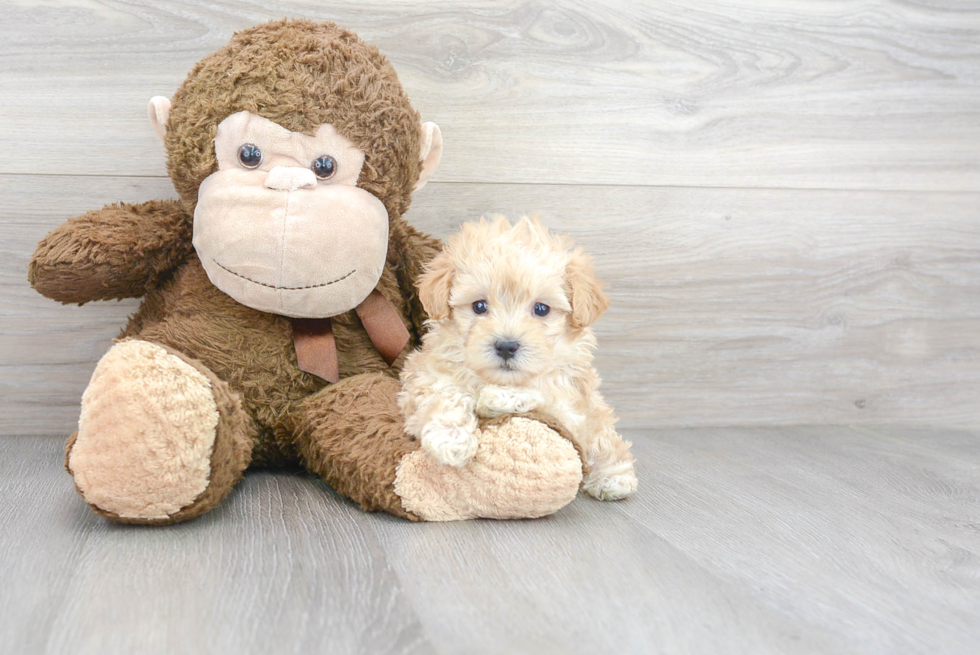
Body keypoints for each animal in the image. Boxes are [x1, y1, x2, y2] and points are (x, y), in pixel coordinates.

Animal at [394, 217, 640, 502]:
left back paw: (613, 478)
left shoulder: (571, 401)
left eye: (541, 309)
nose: (506, 346)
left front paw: (502, 397)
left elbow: (546, 397)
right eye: (479, 306)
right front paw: (451, 437)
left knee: (604, 439)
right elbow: (443, 393)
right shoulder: (423, 374)